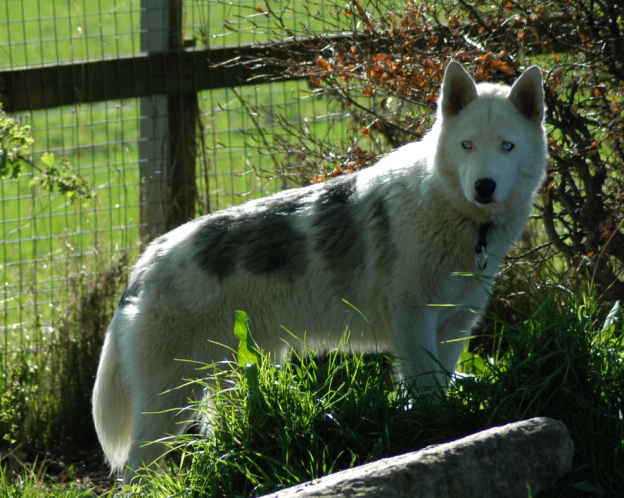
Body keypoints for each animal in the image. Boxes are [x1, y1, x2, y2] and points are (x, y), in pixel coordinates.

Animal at [91, 60, 544, 476]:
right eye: (467, 145)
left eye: (507, 146)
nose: (484, 187)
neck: (459, 218)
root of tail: (148, 259)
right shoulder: (414, 328)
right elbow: (426, 392)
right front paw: (436, 437)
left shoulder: (452, 329)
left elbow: (439, 388)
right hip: (171, 396)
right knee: (136, 465)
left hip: (225, 375)